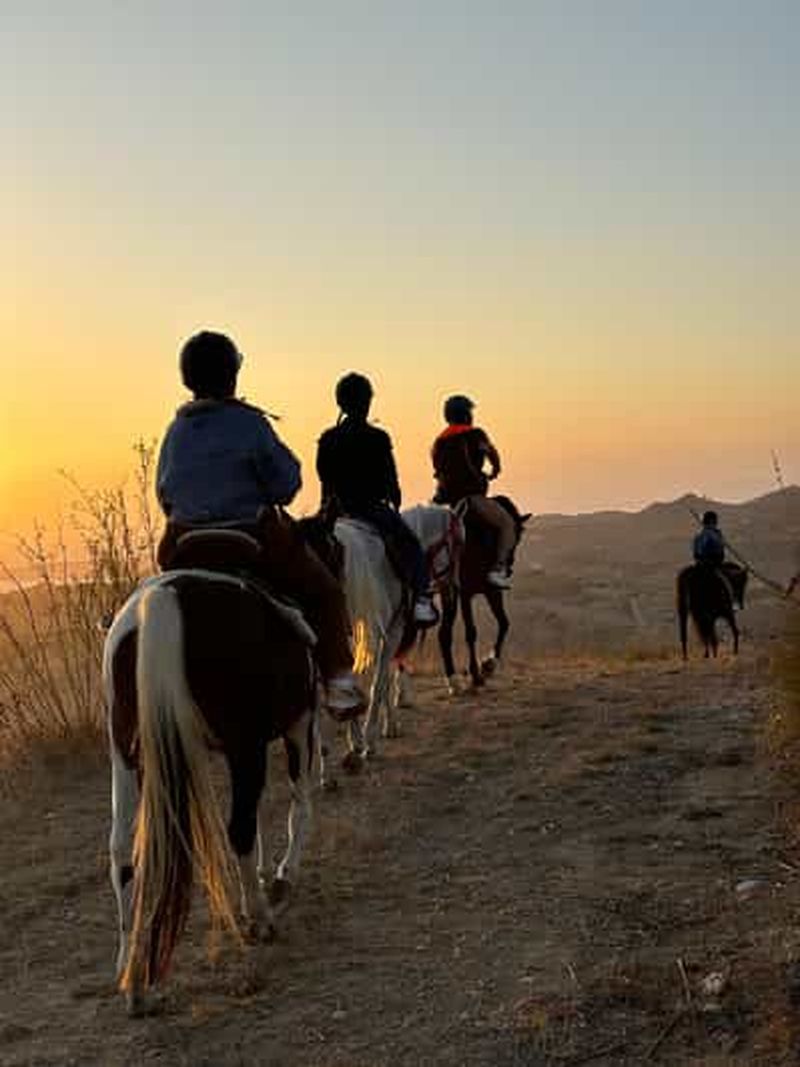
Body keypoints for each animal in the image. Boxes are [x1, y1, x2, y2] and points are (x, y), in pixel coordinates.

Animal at [103, 535, 318, 1014]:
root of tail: (163, 599)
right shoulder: (296, 726)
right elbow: (297, 804)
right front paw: (280, 877)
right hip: (244, 743)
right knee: (238, 827)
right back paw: (260, 919)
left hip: (126, 755)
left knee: (122, 851)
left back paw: (132, 976)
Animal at [438, 495, 531, 691]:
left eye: (519, 538)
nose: (508, 568)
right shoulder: (465, 594)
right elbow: (471, 632)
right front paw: (476, 674)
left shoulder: (492, 591)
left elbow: (504, 623)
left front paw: (488, 665)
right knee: (446, 632)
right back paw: (453, 679)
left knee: (444, 632)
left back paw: (453, 679)